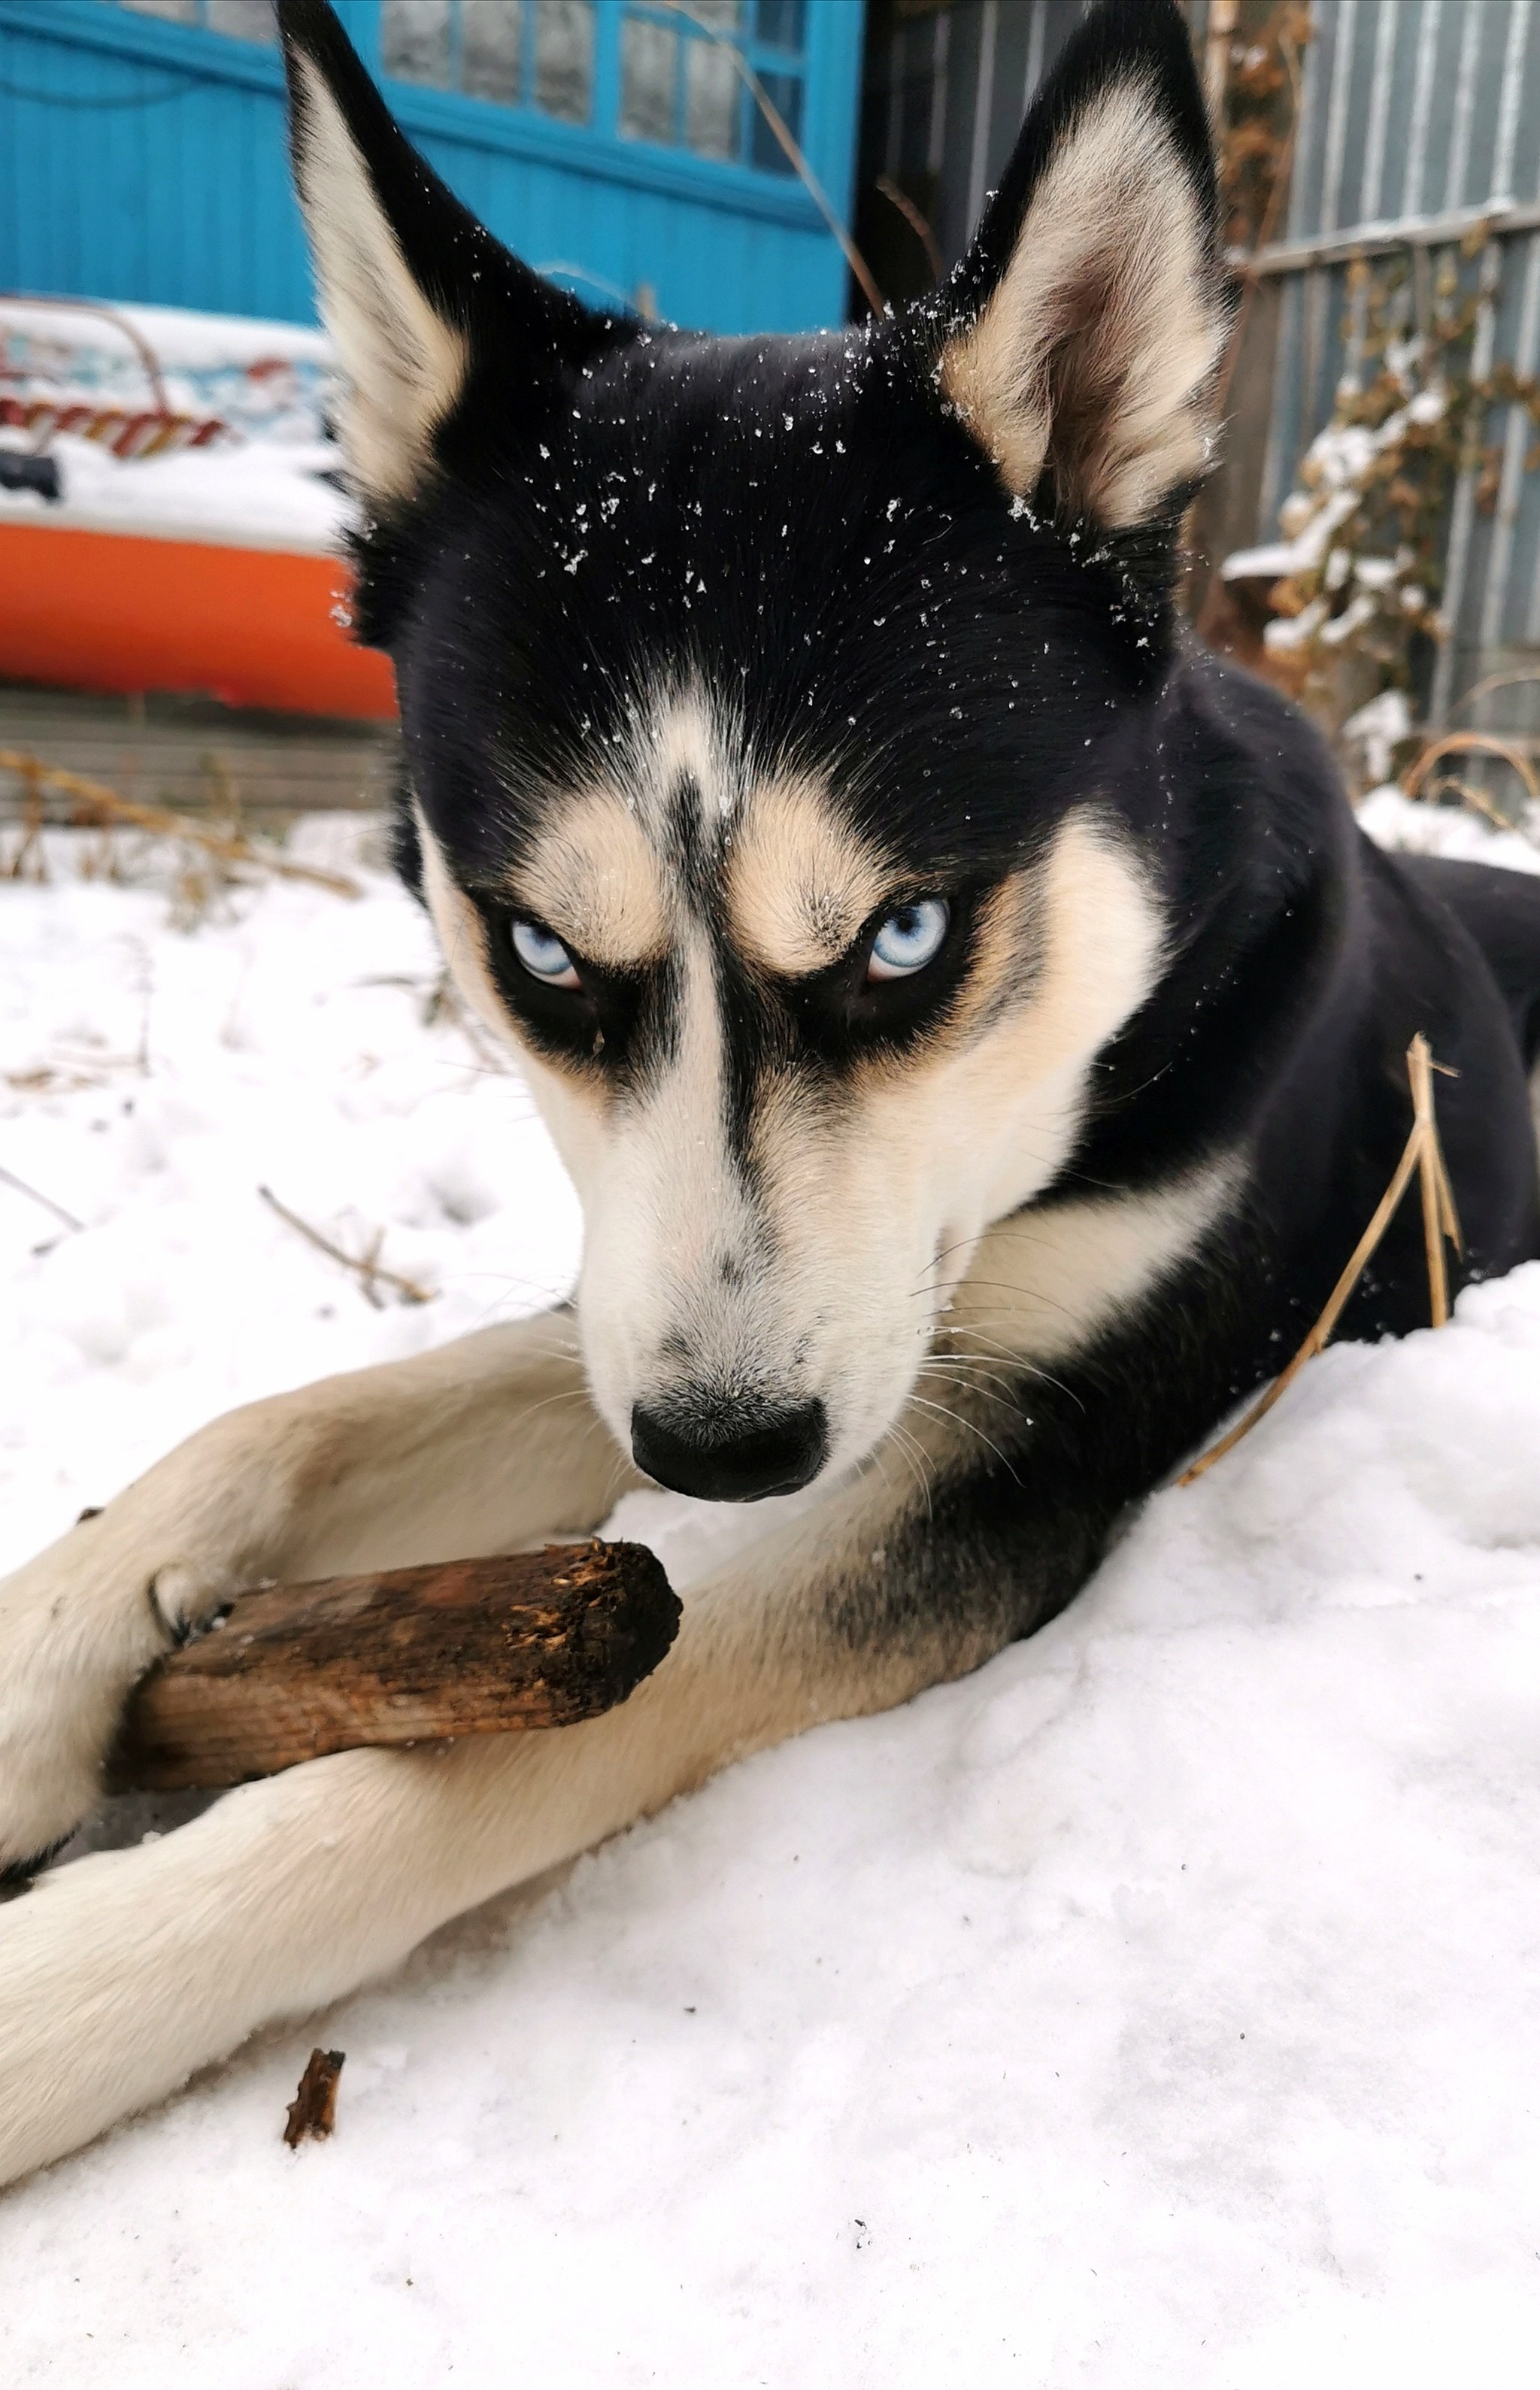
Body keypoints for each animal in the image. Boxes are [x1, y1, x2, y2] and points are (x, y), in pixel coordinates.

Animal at [3, 0, 1540, 2189]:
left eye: (905, 936)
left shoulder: (1018, 1449)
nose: (722, 1454)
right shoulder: (650, 1306)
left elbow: (531, 1736)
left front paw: (62, 1994)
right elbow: (281, 1421)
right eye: (540, 954)